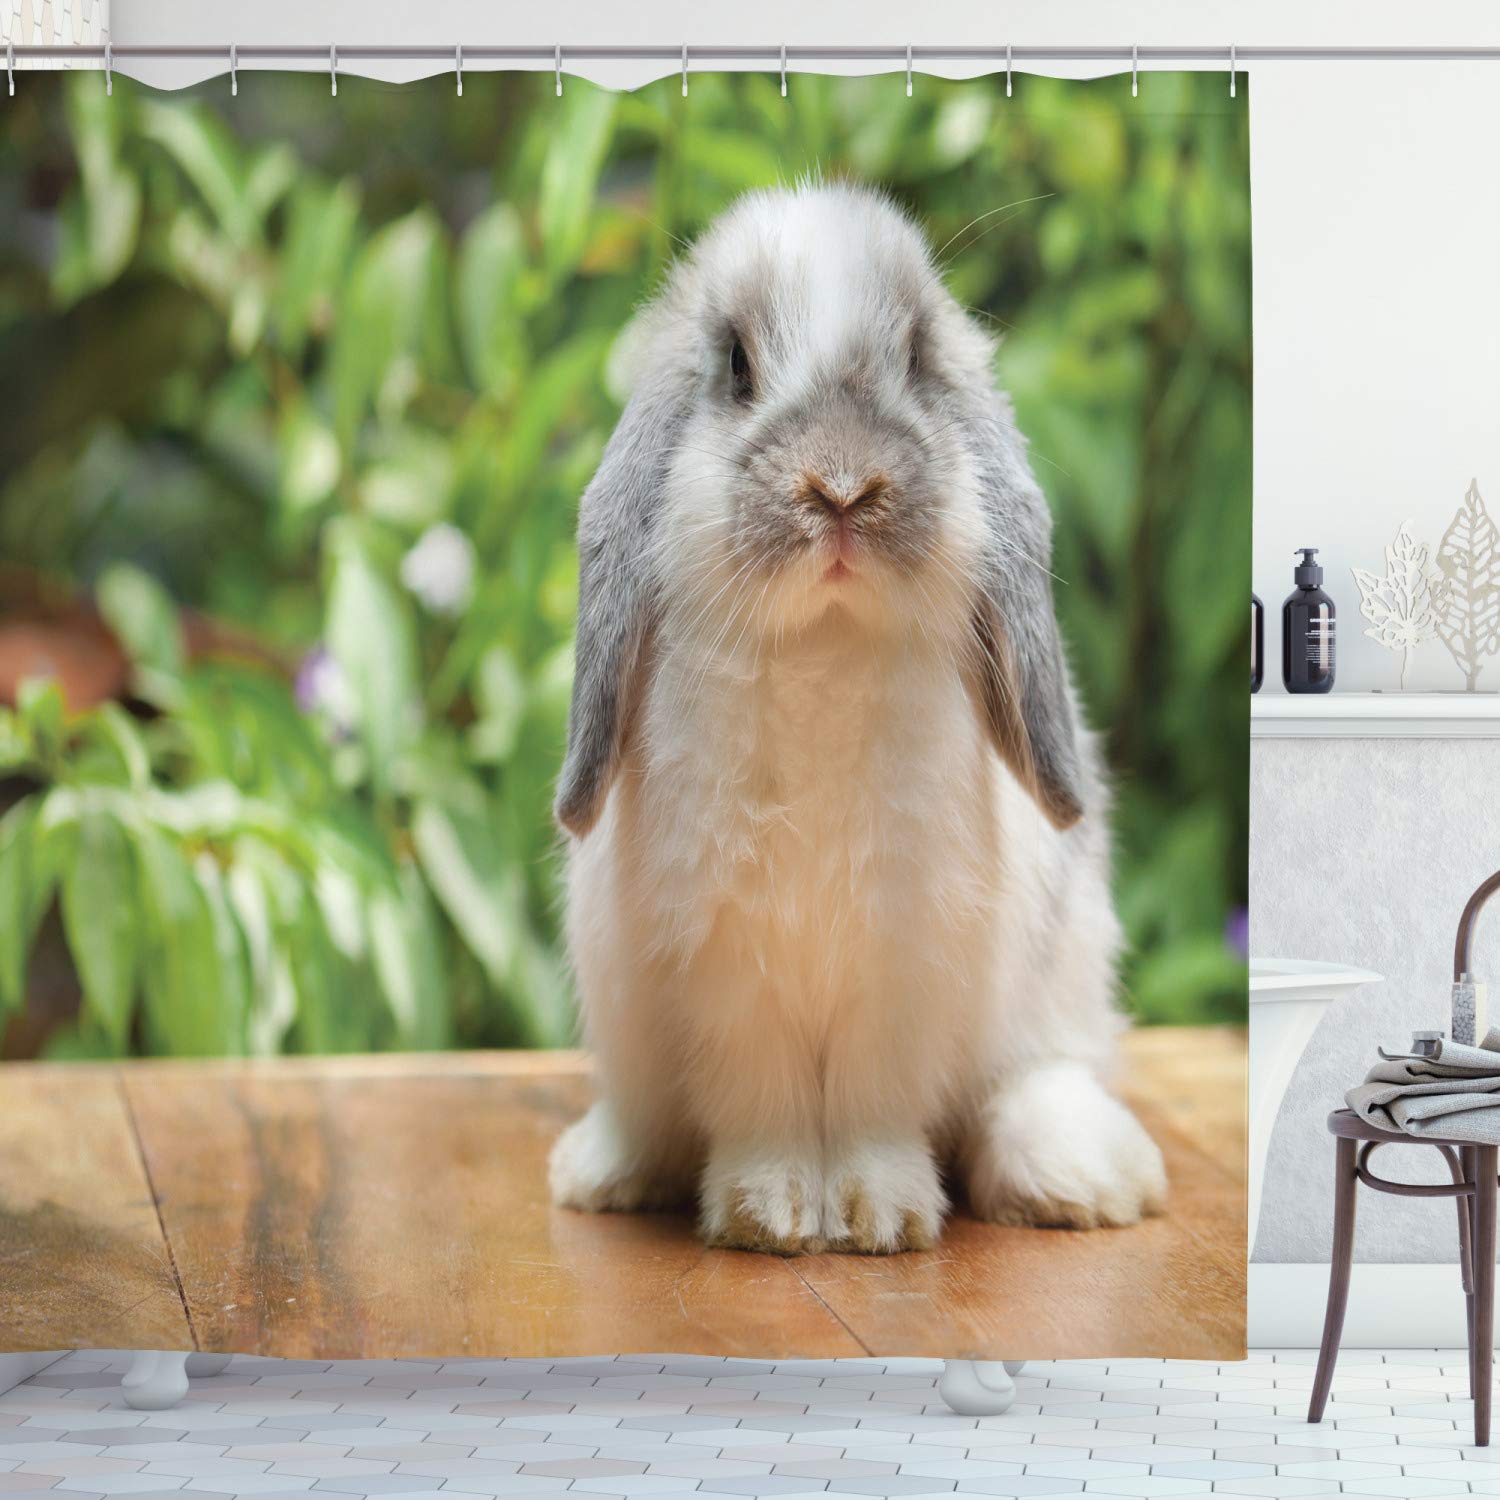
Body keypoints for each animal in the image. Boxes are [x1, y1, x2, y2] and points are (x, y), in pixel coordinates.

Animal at [548, 181, 1168, 1254]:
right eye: (738, 366)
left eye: (917, 360)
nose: (842, 487)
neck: (822, 653)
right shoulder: (728, 968)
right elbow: (764, 1104)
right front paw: (772, 1214)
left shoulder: (906, 961)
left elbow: (877, 1105)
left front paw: (882, 1215)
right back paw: (608, 1171)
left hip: (1059, 982)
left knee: (1038, 1077)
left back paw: (1078, 1179)